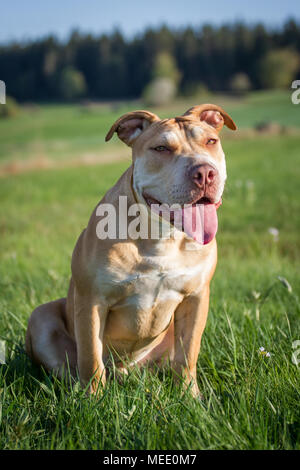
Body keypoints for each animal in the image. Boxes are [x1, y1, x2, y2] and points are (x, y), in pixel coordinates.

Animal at [25, 104, 237, 398]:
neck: (161, 236)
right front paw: (93, 400)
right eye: (161, 148)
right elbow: (91, 356)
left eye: (211, 141)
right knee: (70, 366)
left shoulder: (196, 297)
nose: (205, 172)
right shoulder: (91, 300)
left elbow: (187, 354)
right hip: (41, 317)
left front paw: (189, 396)